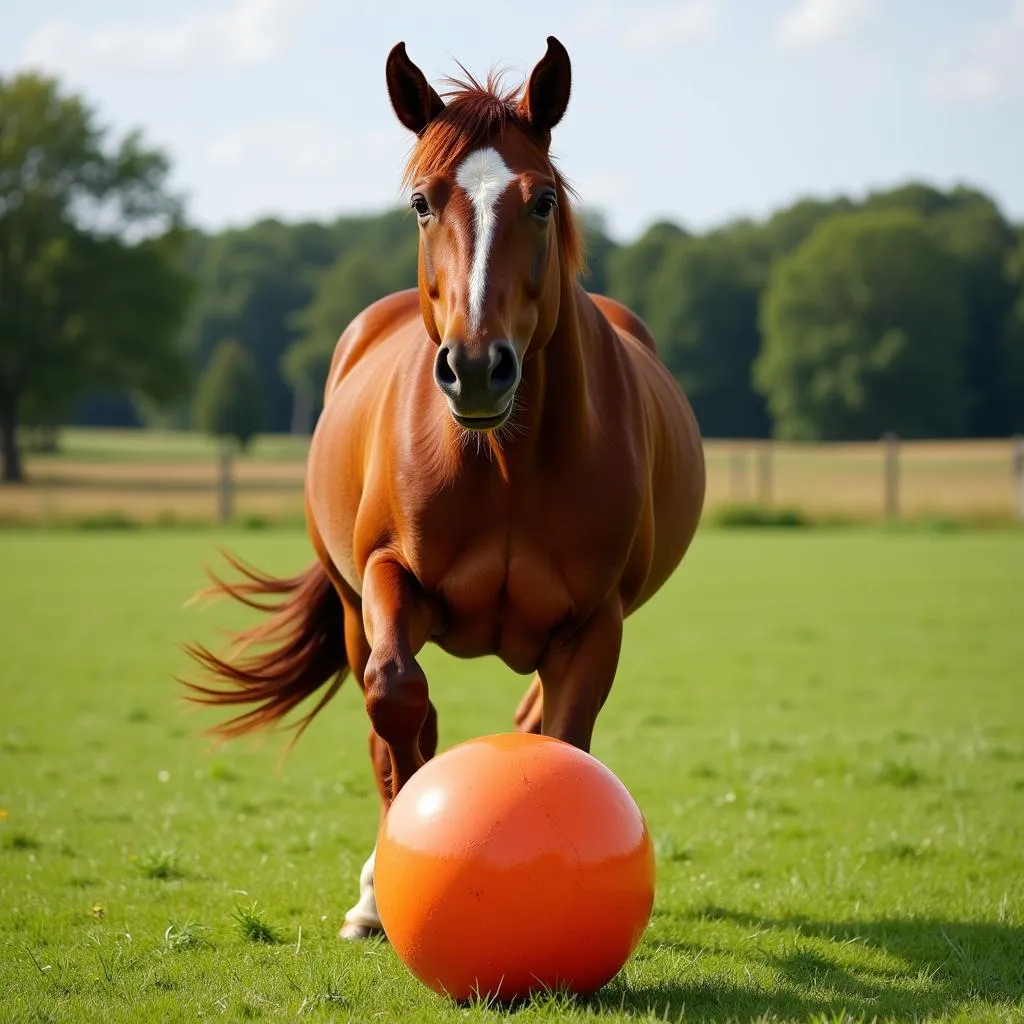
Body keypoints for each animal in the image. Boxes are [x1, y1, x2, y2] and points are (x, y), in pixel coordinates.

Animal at [184, 36, 704, 937]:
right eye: (423, 203)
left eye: (541, 201)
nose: (475, 366)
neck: (501, 464)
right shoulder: (391, 580)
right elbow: (397, 704)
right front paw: (392, 880)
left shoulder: (594, 623)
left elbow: (563, 740)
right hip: (354, 609)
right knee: (393, 713)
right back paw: (371, 896)